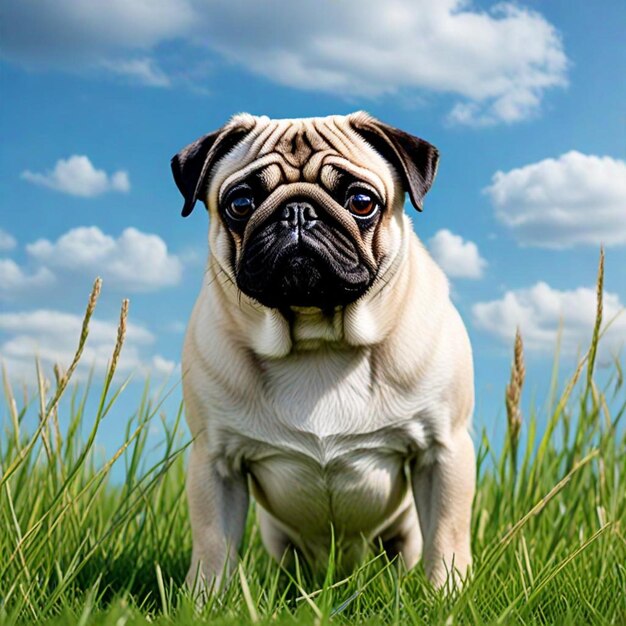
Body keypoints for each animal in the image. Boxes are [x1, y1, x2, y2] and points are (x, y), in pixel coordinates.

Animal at [171, 113, 472, 588]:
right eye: (240, 203)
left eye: (361, 201)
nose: (297, 211)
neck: (318, 340)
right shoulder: (215, 462)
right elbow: (213, 546)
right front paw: (206, 599)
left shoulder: (443, 450)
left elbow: (447, 536)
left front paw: (446, 593)